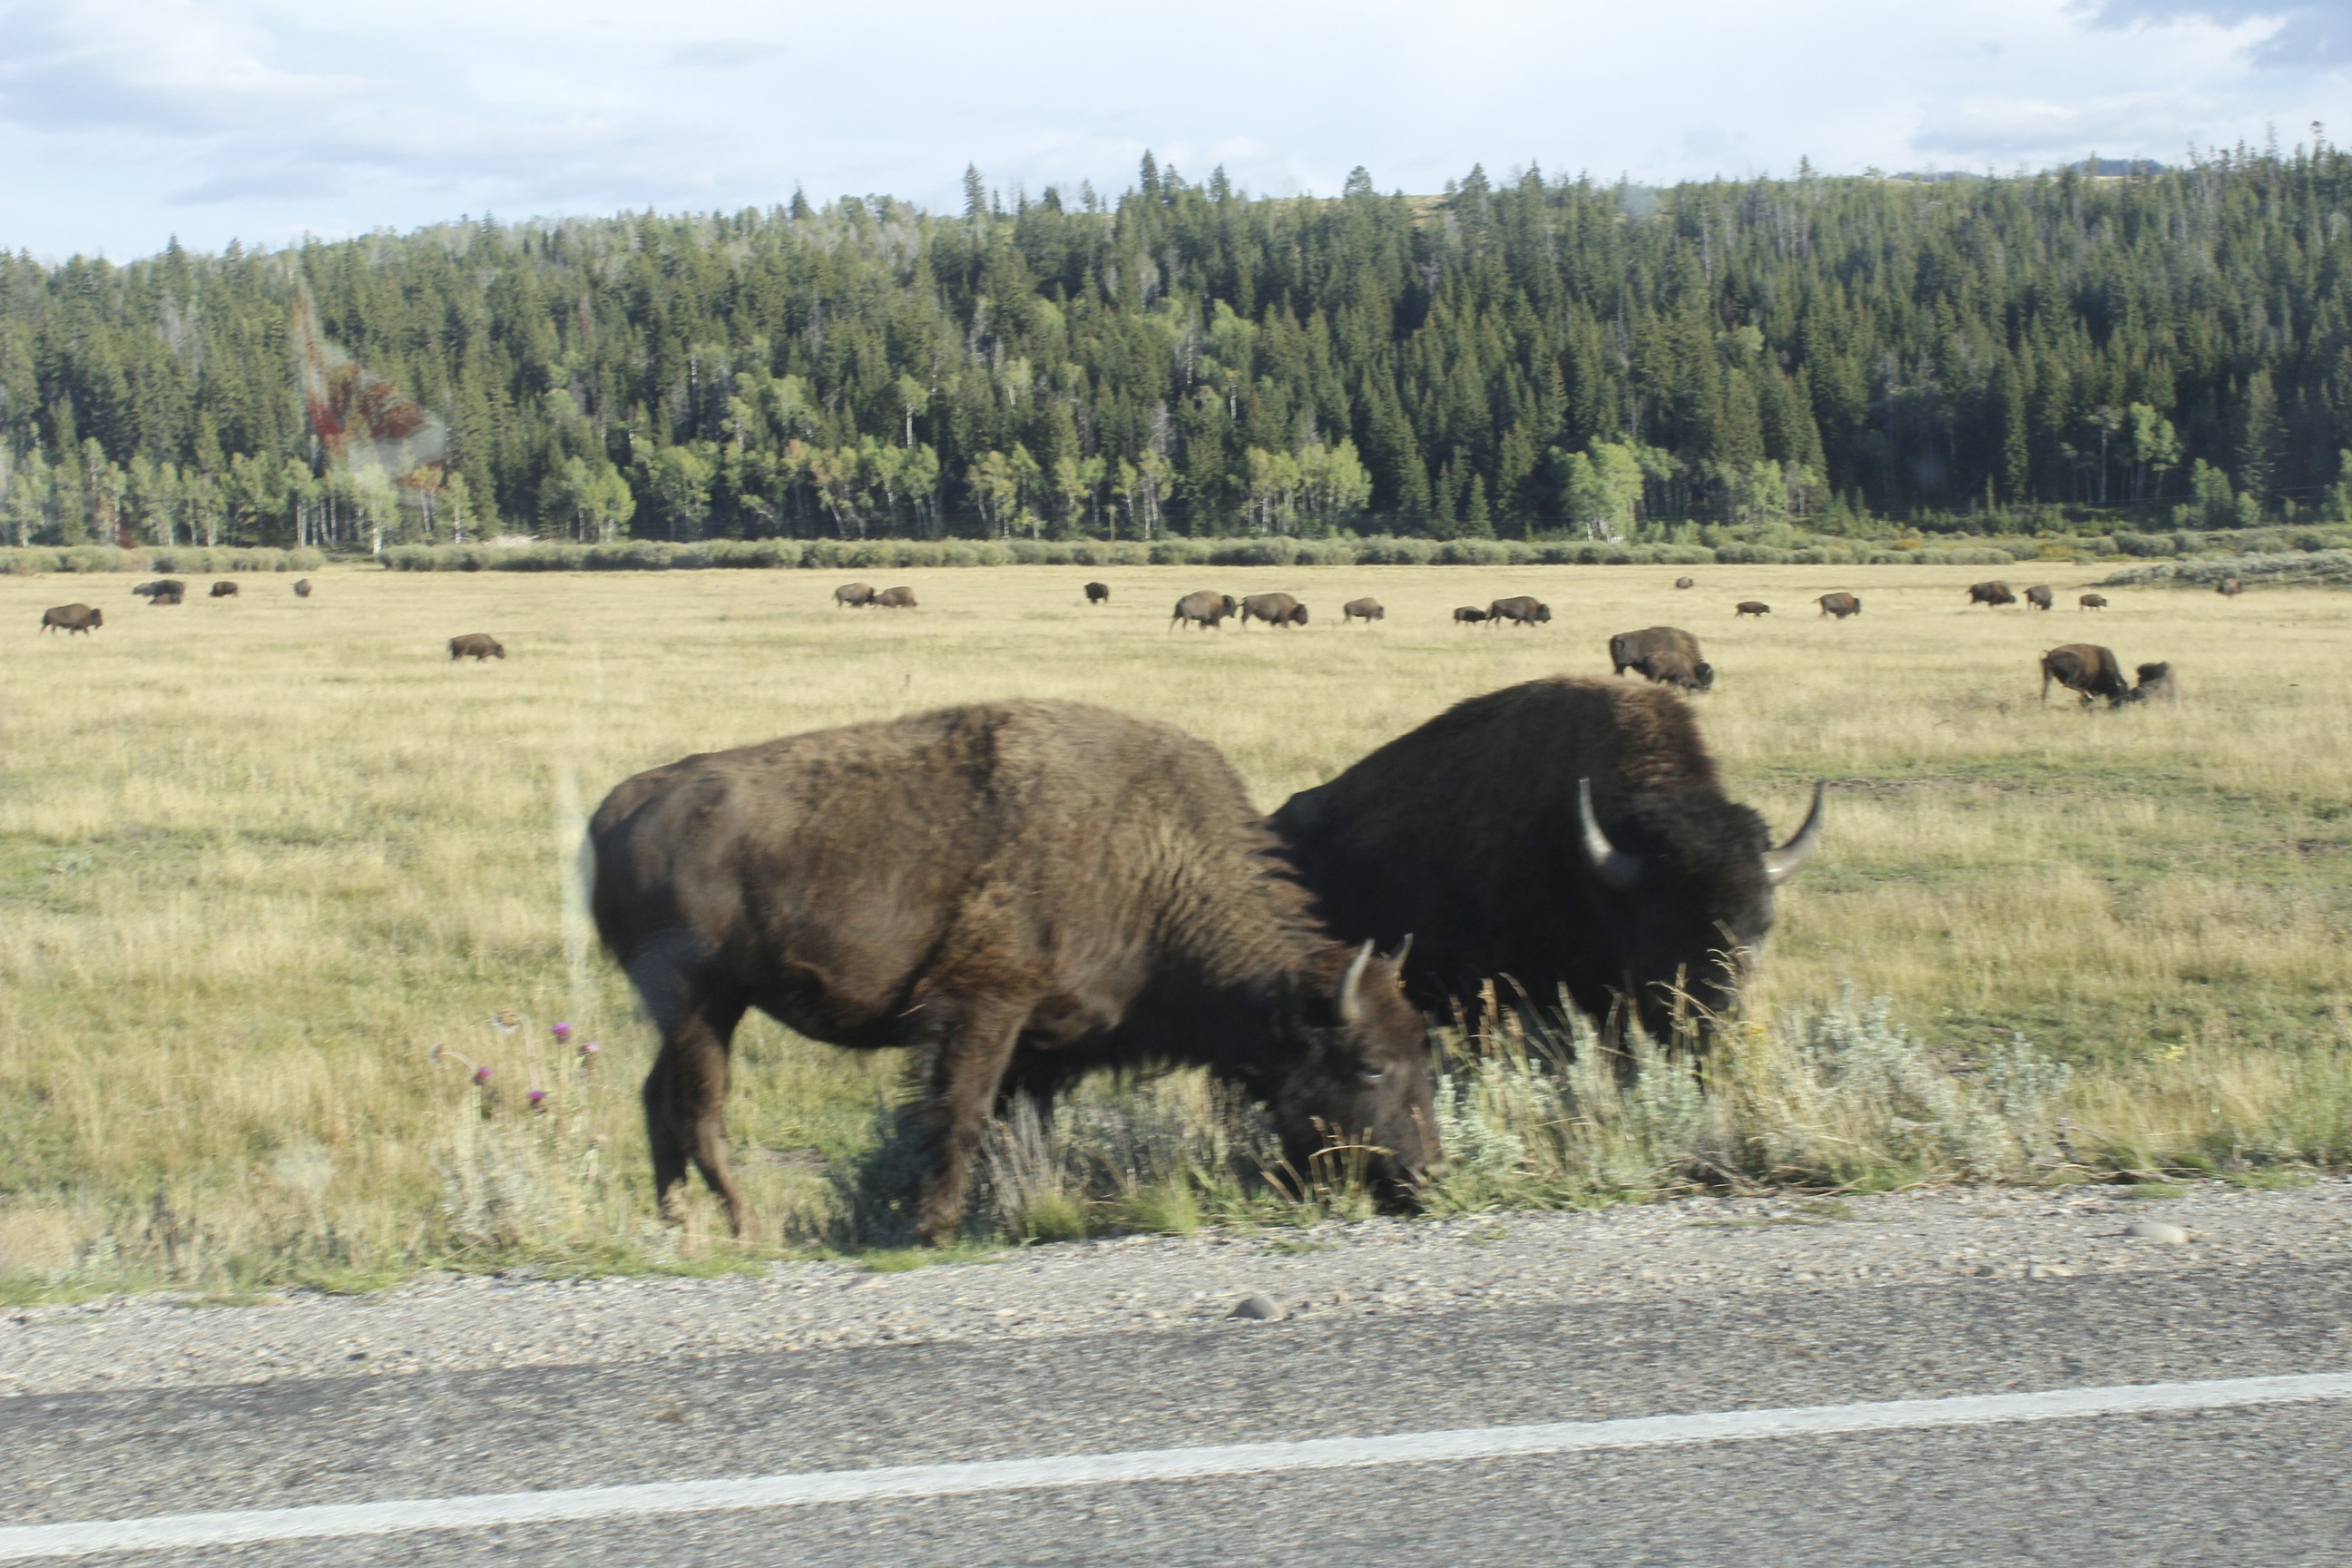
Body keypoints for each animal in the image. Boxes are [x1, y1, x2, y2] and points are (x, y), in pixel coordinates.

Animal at [587, 701, 1438, 1243]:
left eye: (1421, 1049)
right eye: (1368, 1064)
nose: (1423, 1175)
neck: (1157, 861)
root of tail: (619, 805)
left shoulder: (1038, 1047)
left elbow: (1007, 1127)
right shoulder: (984, 1007)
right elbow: (960, 1114)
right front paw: (935, 1226)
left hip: (691, 1013)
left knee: (658, 1100)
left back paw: (679, 1222)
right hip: (702, 1004)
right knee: (698, 1111)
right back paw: (746, 1227)